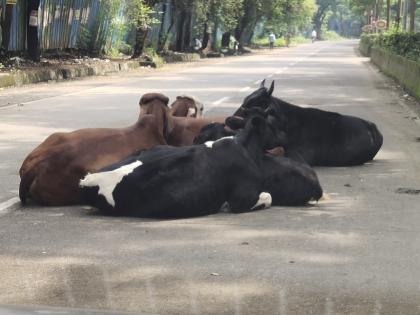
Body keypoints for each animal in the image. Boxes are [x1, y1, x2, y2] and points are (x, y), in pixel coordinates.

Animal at [79, 115, 286, 217]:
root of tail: (87, 180)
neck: (244, 146)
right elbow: (268, 196)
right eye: (272, 126)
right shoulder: (242, 199)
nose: (283, 137)